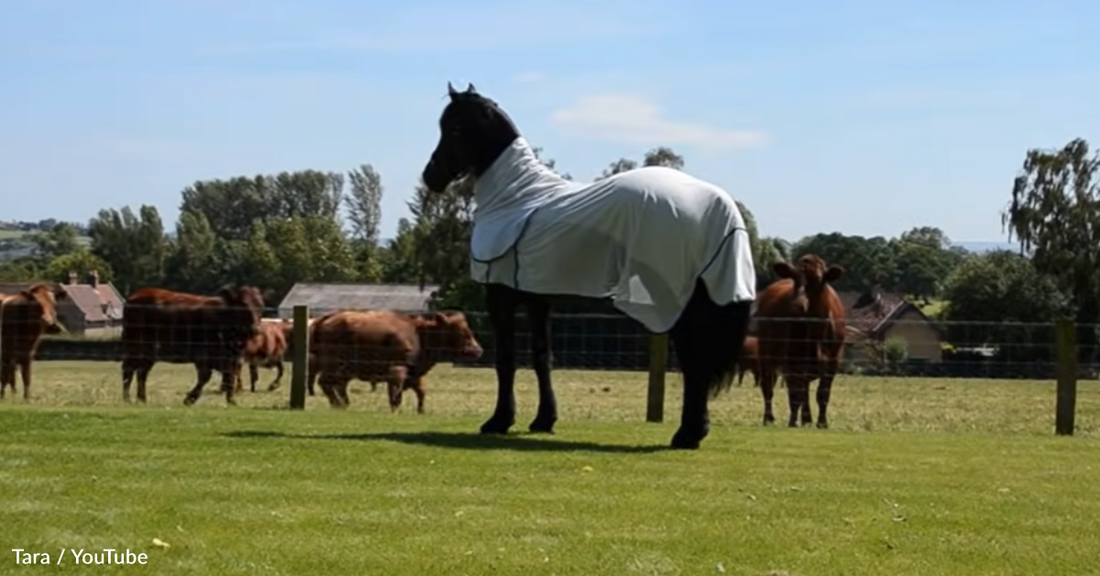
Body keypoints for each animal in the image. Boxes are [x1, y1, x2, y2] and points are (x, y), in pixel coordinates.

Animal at [121, 285, 265, 404]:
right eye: (243, 305)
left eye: (260, 306)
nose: (255, 329)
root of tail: (138, 294)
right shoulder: (203, 356)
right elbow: (205, 377)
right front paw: (190, 398)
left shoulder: (231, 358)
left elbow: (230, 377)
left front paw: (231, 401)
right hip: (136, 347)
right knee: (128, 369)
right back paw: (127, 399)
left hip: (149, 353)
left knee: (141, 372)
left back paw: (141, 399)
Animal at [310, 307, 481, 411]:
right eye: (463, 332)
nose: (478, 350)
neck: (419, 334)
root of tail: (324, 319)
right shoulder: (397, 372)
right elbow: (395, 396)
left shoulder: (414, 374)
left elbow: (421, 393)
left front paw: (421, 411)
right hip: (334, 365)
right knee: (326, 382)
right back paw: (338, 405)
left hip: (344, 369)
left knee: (337, 385)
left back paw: (343, 405)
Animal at [420, 81, 756, 450]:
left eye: (453, 128)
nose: (431, 176)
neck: (518, 197)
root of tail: (720, 208)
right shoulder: (538, 297)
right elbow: (542, 357)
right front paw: (543, 420)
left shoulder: (500, 295)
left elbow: (505, 359)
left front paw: (498, 421)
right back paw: (692, 432)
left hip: (681, 303)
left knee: (695, 362)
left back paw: (687, 435)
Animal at [752, 255, 844, 426]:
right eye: (793, 277)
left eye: (819, 279)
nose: (798, 304)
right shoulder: (791, 361)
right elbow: (795, 395)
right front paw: (792, 422)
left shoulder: (833, 361)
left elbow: (822, 394)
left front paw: (822, 422)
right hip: (766, 354)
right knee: (768, 387)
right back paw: (769, 418)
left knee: (805, 388)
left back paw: (807, 419)